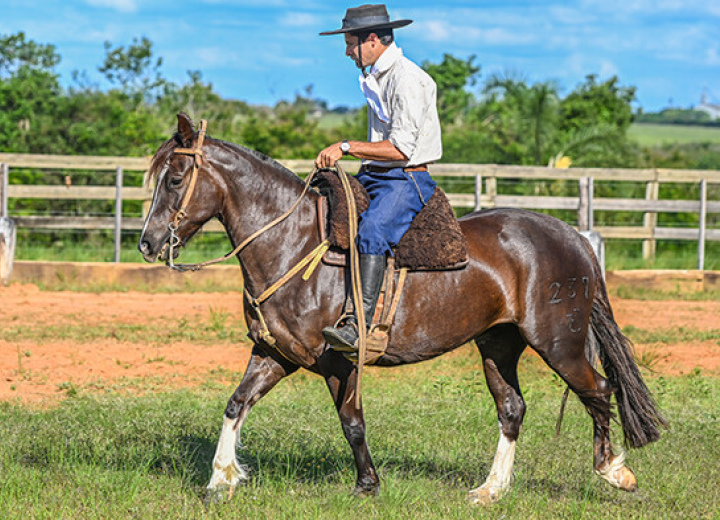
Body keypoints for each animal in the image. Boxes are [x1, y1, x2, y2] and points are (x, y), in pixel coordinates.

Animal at [136, 114, 664, 504]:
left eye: (176, 178)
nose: (147, 242)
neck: (293, 243)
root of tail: (573, 237)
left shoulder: (337, 359)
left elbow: (352, 422)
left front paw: (367, 484)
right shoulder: (276, 353)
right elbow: (236, 404)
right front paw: (219, 480)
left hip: (559, 342)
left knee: (598, 391)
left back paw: (615, 472)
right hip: (499, 343)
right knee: (513, 407)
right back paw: (491, 489)